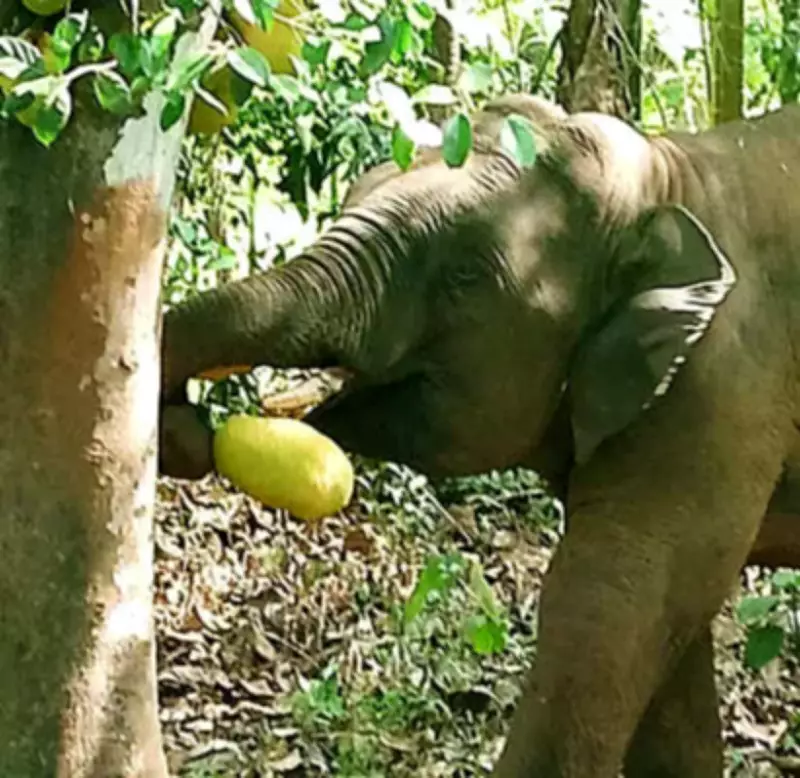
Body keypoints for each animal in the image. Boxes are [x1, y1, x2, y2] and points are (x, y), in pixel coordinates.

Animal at [159, 94, 800, 776]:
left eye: (465, 274)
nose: (186, 426)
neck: (670, 174)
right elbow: (665, 629)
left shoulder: (722, 383)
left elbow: (608, 603)